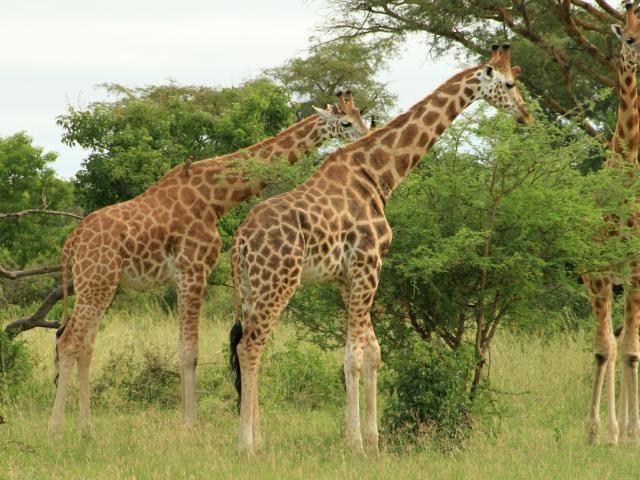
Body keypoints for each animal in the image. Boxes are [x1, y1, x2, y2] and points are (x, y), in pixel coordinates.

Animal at [48, 91, 370, 438]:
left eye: (363, 117)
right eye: (346, 122)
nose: (365, 138)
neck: (215, 196)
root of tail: (72, 242)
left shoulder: (188, 274)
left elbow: (188, 349)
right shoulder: (193, 269)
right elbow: (189, 352)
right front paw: (190, 425)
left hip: (100, 284)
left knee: (85, 346)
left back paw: (87, 430)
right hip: (96, 281)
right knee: (68, 341)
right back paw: (55, 431)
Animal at [230, 44, 528, 454]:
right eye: (509, 84)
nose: (526, 115)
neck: (378, 174)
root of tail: (240, 241)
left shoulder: (349, 275)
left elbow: (373, 351)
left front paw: (373, 441)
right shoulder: (368, 265)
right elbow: (353, 357)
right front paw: (355, 443)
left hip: (249, 288)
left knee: (248, 346)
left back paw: (259, 439)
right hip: (278, 282)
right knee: (249, 347)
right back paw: (247, 446)